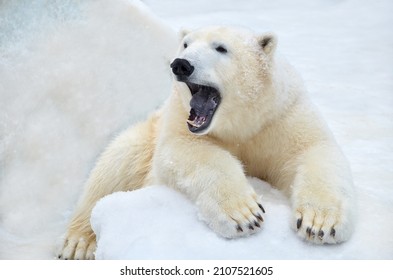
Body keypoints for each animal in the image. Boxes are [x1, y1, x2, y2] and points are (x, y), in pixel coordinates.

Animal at [58, 26, 356, 260]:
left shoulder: (282, 114)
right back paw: (78, 243)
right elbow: (185, 151)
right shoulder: (179, 117)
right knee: (113, 167)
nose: (181, 64)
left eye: (221, 48)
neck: (242, 121)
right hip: (145, 134)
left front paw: (320, 224)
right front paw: (244, 215)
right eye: (186, 43)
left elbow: (313, 150)